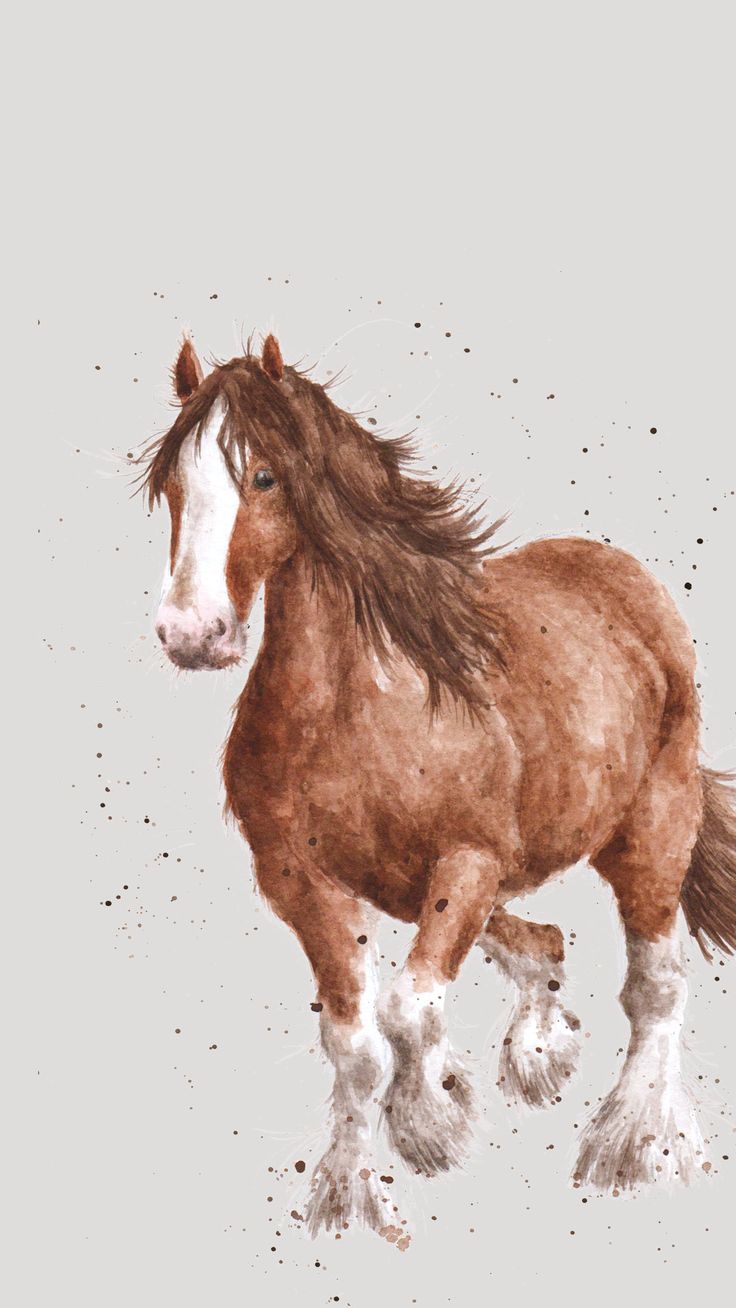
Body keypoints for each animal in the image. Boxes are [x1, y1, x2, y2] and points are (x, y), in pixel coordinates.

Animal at [138, 332, 736, 1241]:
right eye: (173, 483)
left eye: (265, 477)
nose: (192, 634)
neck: (353, 708)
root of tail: (622, 577)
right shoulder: (304, 885)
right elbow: (355, 1047)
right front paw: (348, 1200)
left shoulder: (467, 864)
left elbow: (406, 1013)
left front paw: (431, 1125)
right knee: (545, 942)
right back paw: (541, 1055)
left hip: (651, 831)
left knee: (655, 987)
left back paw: (636, 1148)